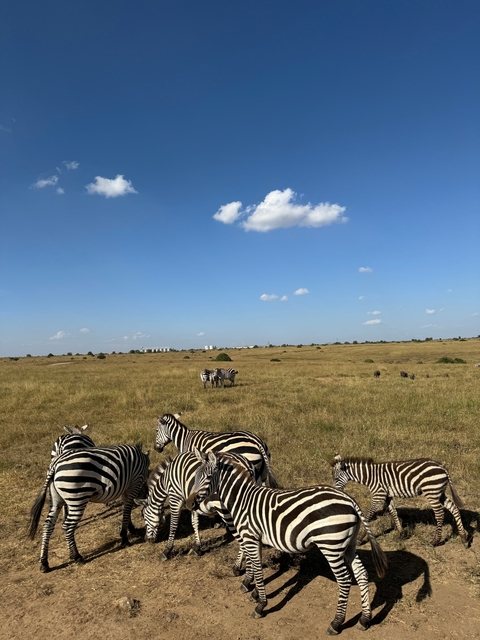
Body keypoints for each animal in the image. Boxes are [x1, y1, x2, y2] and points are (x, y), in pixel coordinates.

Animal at [28, 443, 150, 572]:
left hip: (56, 500)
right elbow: (127, 510)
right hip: (77, 498)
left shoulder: (126, 488)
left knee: (47, 525)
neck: (141, 460)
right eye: (146, 474)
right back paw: (76, 557)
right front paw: (125, 537)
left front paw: (130, 529)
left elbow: (126, 510)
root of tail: (55, 464)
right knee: (67, 526)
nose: (145, 494)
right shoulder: (134, 484)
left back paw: (44, 563)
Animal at [186, 452, 387, 635]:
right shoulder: (256, 538)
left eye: (207, 478)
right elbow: (256, 566)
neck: (242, 500)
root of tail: (350, 500)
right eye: (195, 477)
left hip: (331, 545)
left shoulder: (250, 537)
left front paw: (261, 605)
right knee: (361, 574)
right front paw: (254, 593)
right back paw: (364, 619)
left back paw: (336, 623)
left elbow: (257, 567)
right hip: (348, 545)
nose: (189, 504)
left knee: (344, 580)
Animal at [332, 454, 469, 547]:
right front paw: (402, 534)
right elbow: (393, 512)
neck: (370, 477)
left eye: (336, 478)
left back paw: (435, 541)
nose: (336, 491)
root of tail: (442, 467)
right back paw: (464, 538)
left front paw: (360, 539)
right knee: (454, 508)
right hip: (439, 493)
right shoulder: (387, 495)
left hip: (431, 492)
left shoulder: (378, 494)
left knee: (440, 513)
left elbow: (368, 515)